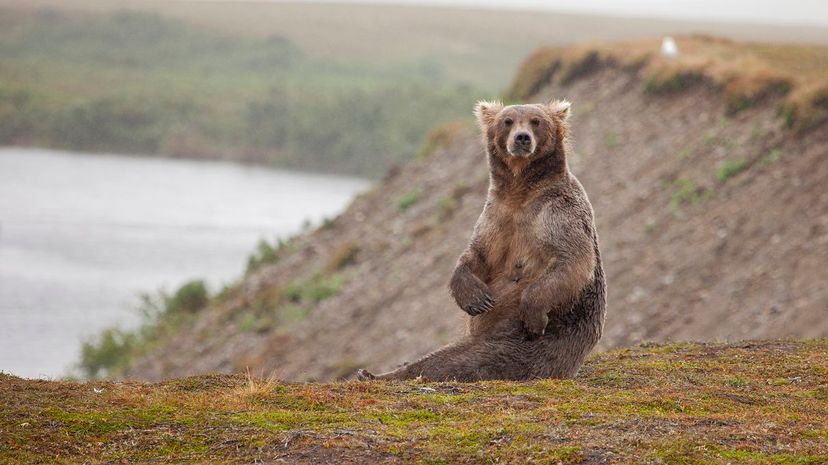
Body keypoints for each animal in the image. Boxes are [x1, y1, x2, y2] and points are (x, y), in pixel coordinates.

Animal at [357, 99, 606, 381]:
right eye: (507, 121)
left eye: (536, 121)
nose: (522, 138)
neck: (520, 193)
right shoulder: (496, 216)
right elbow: (477, 255)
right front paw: (476, 298)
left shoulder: (556, 213)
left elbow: (572, 260)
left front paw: (533, 314)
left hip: (527, 345)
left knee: (460, 359)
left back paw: (381, 373)